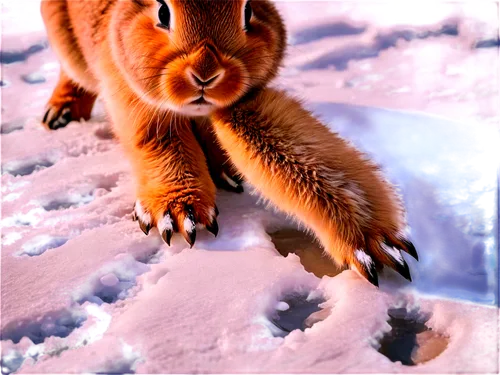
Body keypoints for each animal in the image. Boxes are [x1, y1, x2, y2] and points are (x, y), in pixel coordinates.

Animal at [39, 0, 416, 286]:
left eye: (248, 10)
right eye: (162, 11)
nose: (206, 74)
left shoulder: (243, 104)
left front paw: (380, 248)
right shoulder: (135, 99)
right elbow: (159, 144)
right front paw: (180, 216)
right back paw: (60, 112)